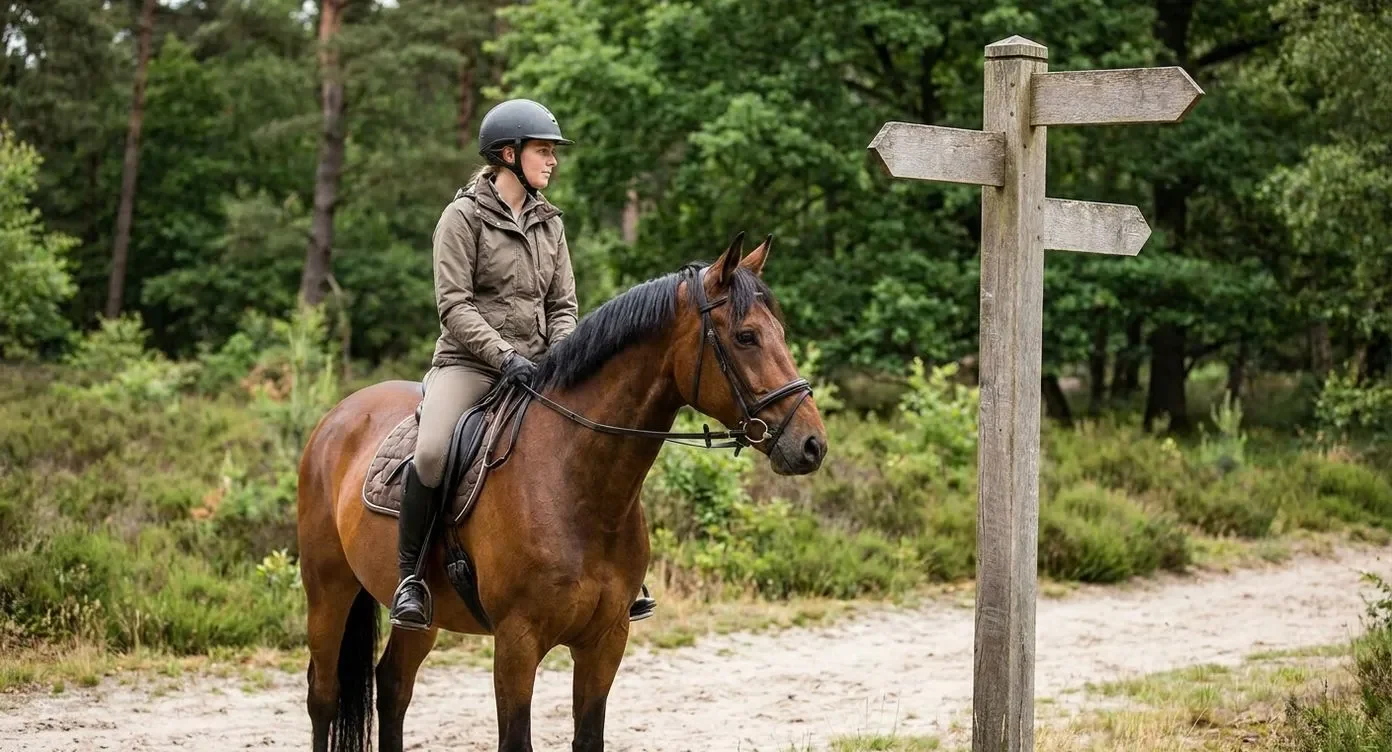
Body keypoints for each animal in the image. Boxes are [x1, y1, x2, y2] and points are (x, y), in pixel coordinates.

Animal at [294, 231, 828, 752]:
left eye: (779, 333)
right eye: (746, 337)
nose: (811, 445)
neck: (577, 487)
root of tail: (336, 417)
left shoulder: (605, 641)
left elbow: (588, 735)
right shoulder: (517, 642)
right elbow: (516, 739)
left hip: (423, 617)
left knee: (393, 686)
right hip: (328, 591)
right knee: (323, 695)